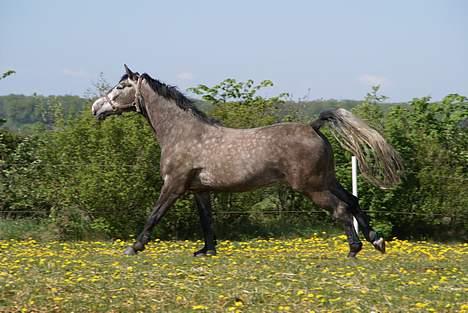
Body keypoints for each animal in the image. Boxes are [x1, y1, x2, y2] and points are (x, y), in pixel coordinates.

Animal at [90, 64, 402, 256]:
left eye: (120, 87)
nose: (96, 108)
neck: (181, 133)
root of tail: (313, 126)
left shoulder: (174, 185)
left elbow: (154, 214)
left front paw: (134, 246)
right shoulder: (200, 190)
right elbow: (207, 221)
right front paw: (207, 251)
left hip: (311, 187)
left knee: (340, 209)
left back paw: (354, 249)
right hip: (326, 179)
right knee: (352, 200)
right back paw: (377, 240)